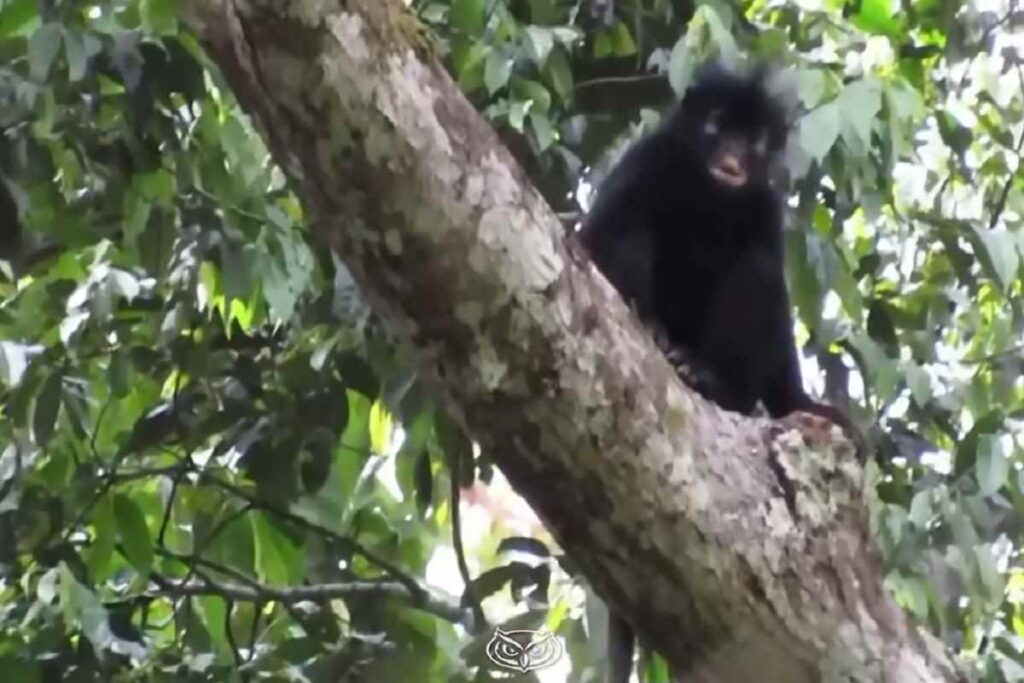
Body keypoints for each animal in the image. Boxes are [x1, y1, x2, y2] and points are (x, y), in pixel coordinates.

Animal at [579, 61, 850, 682]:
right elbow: (595, 238)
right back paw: (657, 336)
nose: (732, 156)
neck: (708, 195)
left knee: (756, 273)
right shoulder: (646, 160)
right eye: (717, 126)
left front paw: (804, 403)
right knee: (632, 229)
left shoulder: (764, 207)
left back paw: (708, 379)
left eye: (752, 142)